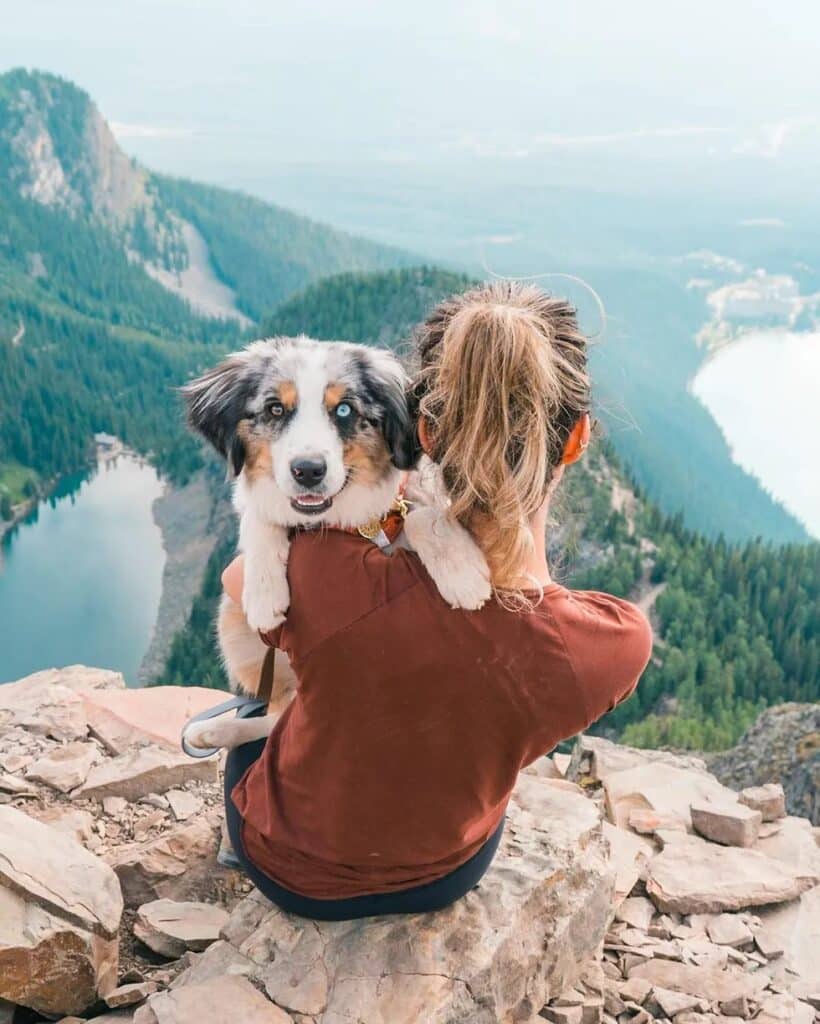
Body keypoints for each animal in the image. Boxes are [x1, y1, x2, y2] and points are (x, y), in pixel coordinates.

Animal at [181, 337, 487, 753]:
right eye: (275, 408)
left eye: (344, 409)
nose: (308, 471)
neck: (346, 521)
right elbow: (260, 517)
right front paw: (263, 593)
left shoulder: (404, 503)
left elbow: (421, 514)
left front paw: (463, 574)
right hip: (233, 629)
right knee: (280, 716)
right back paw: (216, 731)